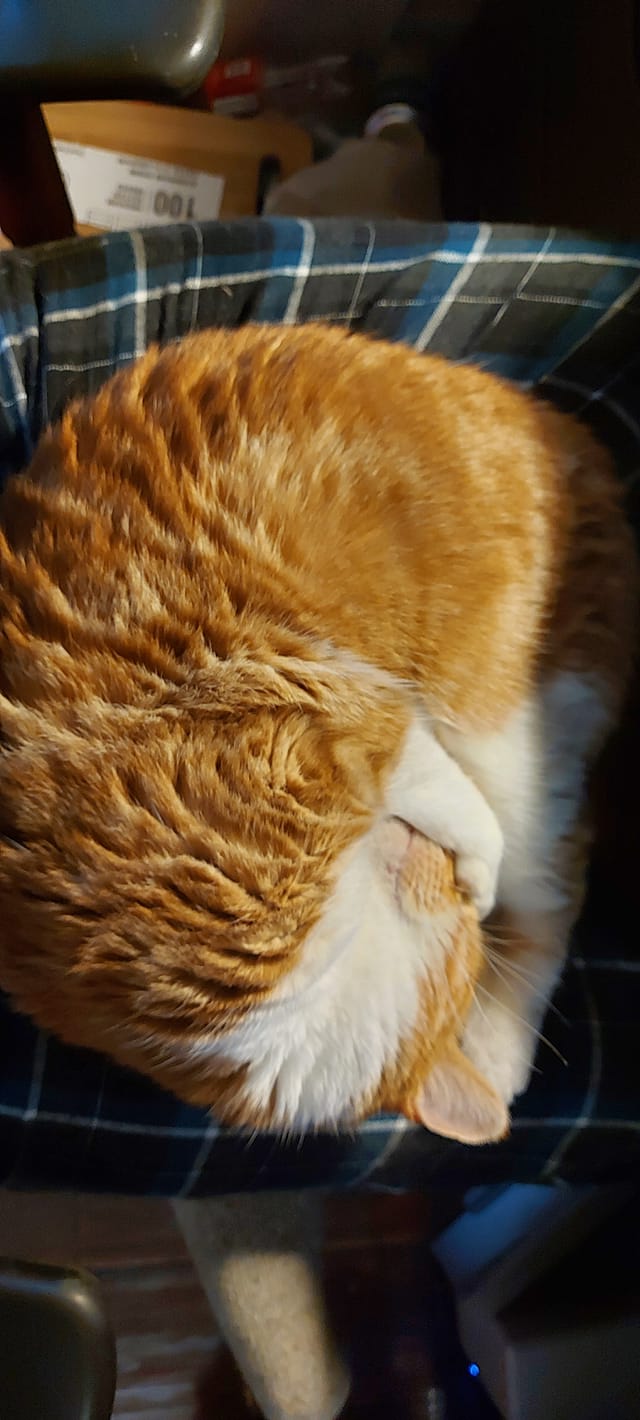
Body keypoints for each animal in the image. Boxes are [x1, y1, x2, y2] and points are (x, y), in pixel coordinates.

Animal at [0, 325, 635, 1141]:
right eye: (452, 917)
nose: (451, 882)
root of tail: (582, 444)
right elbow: (437, 792)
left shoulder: (329, 711)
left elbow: (447, 796)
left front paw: (478, 871)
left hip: (505, 727)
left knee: (554, 880)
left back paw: (500, 1048)